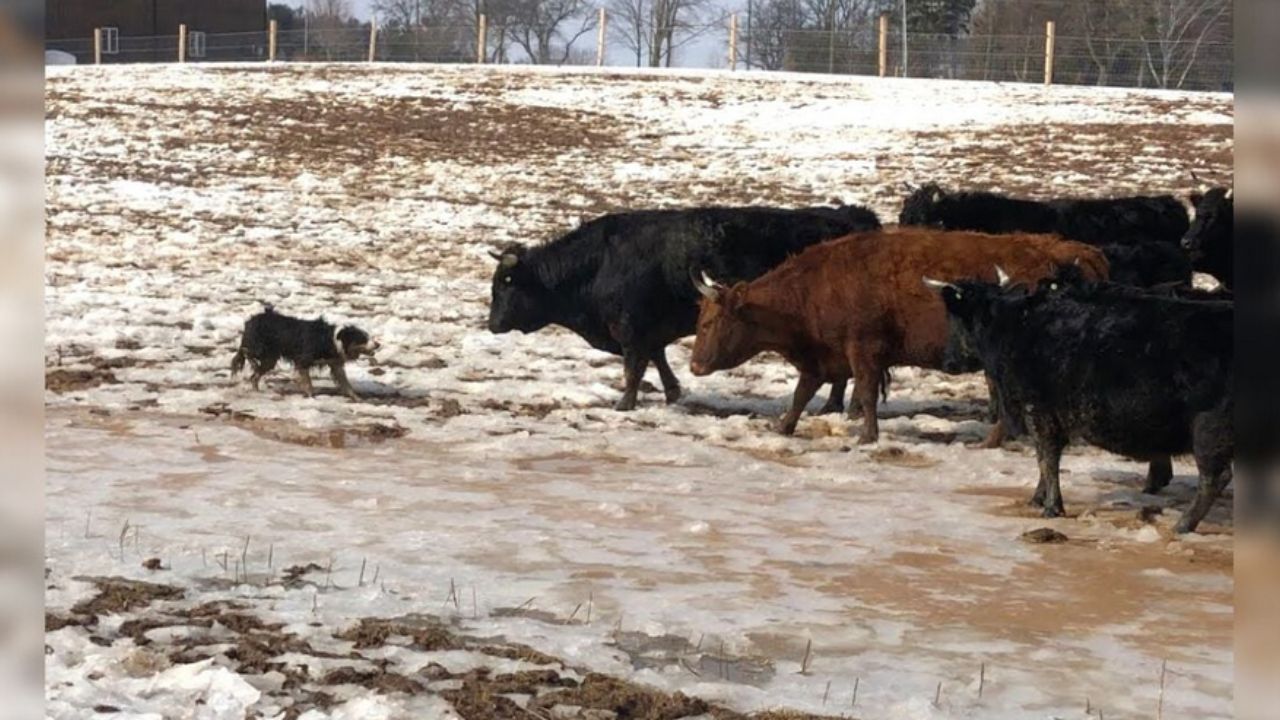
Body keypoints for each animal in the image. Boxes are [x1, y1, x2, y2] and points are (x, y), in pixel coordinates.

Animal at [229, 303, 376, 399]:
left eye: (367, 336)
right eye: (363, 339)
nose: (378, 344)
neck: (333, 340)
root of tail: (250, 320)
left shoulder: (335, 364)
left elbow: (345, 382)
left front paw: (357, 398)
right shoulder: (303, 360)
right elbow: (308, 382)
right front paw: (311, 396)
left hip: (269, 359)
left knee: (254, 376)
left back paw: (257, 391)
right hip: (260, 348)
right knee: (244, 352)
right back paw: (251, 364)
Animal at [486, 206, 880, 409]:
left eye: (506, 283)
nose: (491, 324)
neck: (598, 263)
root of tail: (850, 214)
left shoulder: (631, 328)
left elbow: (634, 367)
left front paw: (624, 404)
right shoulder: (648, 330)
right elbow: (657, 358)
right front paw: (673, 391)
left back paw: (836, 406)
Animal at [691, 226, 1111, 440]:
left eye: (709, 323)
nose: (694, 366)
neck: (817, 286)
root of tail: (1078, 252)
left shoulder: (864, 350)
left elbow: (864, 393)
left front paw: (866, 436)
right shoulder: (823, 357)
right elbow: (801, 394)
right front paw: (784, 427)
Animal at [936, 266, 1233, 530]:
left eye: (956, 321)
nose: (948, 362)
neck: (1015, 326)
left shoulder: (1038, 410)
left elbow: (1046, 457)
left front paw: (1050, 507)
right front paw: (1038, 498)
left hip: (1209, 430)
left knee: (1214, 478)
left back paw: (1182, 525)